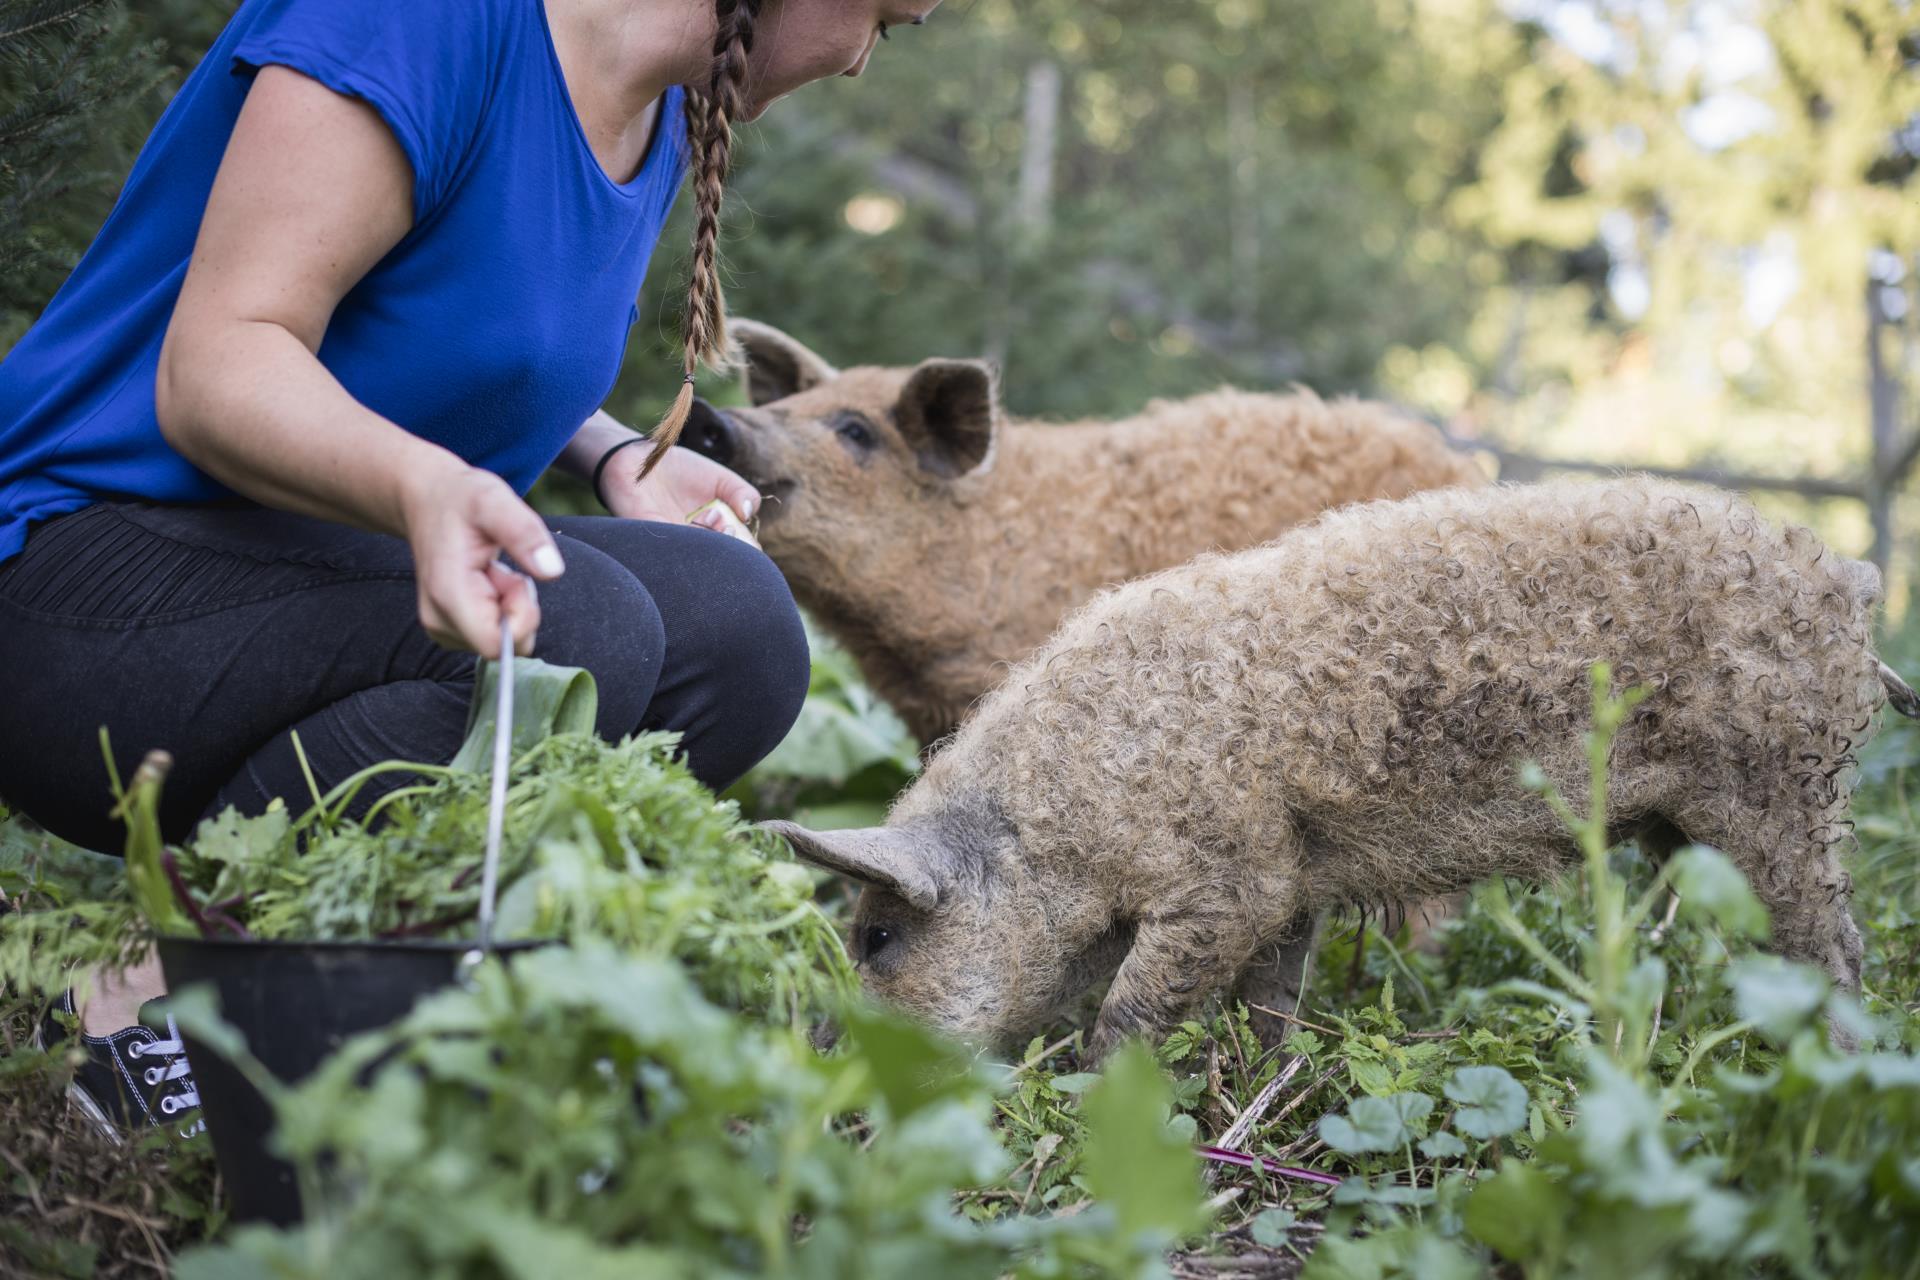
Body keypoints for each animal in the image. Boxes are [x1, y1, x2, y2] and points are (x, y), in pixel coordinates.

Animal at [768, 475, 1920, 1059]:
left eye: (877, 937)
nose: (816, 1043)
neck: (1065, 818)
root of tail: (1849, 586)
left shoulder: (1224, 878)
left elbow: (1131, 1009)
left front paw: (1110, 1100)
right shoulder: (1291, 876)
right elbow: (1273, 995)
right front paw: (1269, 1080)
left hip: (1781, 794)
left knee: (1839, 947)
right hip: (1701, 828)